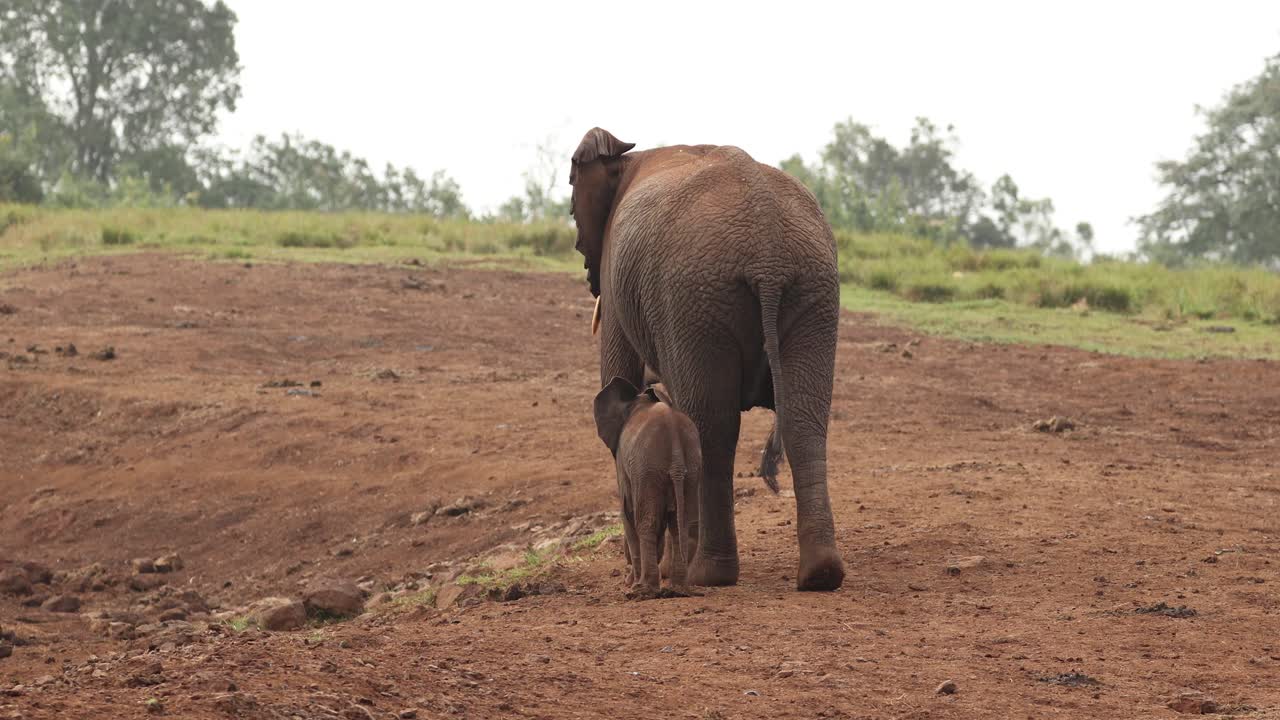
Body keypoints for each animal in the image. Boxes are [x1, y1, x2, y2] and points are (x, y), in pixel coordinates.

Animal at [593, 376, 701, 598]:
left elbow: (627, 512)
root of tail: (676, 453)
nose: (626, 579)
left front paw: (631, 583)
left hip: (647, 469)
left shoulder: (623, 463)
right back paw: (678, 589)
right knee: (681, 524)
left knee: (646, 523)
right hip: (690, 468)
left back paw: (643, 591)